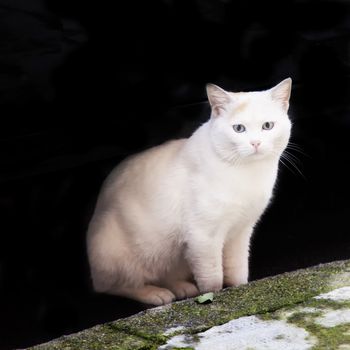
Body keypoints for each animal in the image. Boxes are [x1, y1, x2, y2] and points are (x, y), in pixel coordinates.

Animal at [87, 78, 292, 304]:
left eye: (267, 126)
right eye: (239, 129)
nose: (255, 143)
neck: (248, 173)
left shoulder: (241, 231)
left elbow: (238, 272)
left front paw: (240, 290)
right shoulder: (203, 236)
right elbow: (213, 279)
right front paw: (212, 298)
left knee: (164, 276)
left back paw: (183, 289)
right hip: (118, 250)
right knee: (116, 285)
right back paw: (157, 295)